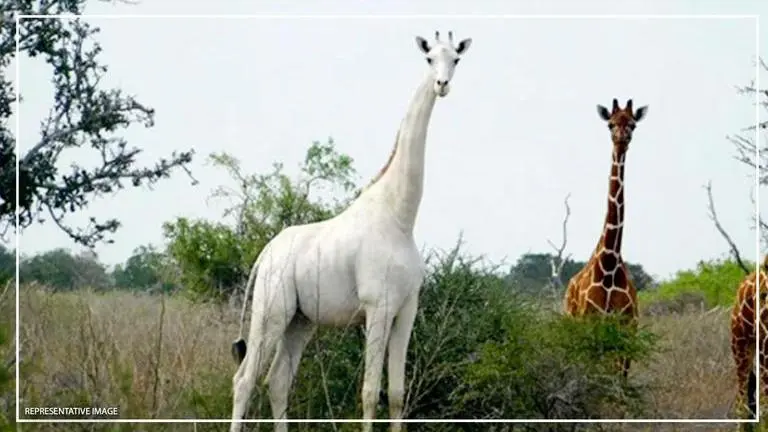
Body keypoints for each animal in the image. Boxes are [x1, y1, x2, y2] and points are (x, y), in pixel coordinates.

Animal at [229, 31, 472, 432]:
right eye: (428, 59)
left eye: (455, 59)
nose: (442, 85)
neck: (400, 217)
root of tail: (265, 254)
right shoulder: (378, 307)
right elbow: (370, 392)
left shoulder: (406, 309)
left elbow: (397, 394)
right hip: (271, 311)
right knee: (245, 379)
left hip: (301, 320)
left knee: (277, 380)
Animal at [563, 98, 648, 378]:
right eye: (610, 123)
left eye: (632, 124)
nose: (621, 137)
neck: (609, 264)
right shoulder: (592, 324)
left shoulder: (627, 328)